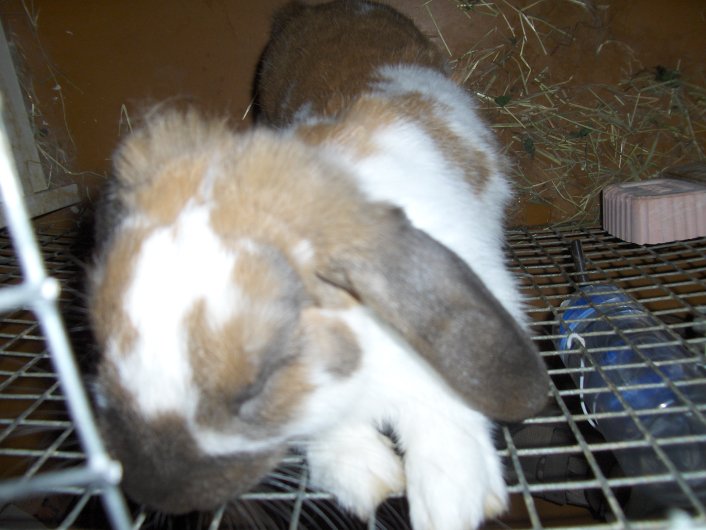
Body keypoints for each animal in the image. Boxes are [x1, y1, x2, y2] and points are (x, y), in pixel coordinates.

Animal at [87, 1, 549, 529]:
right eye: (105, 354)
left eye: (258, 384)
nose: (154, 494)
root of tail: (322, 7)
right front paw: (364, 475)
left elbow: (445, 407)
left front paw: (451, 501)